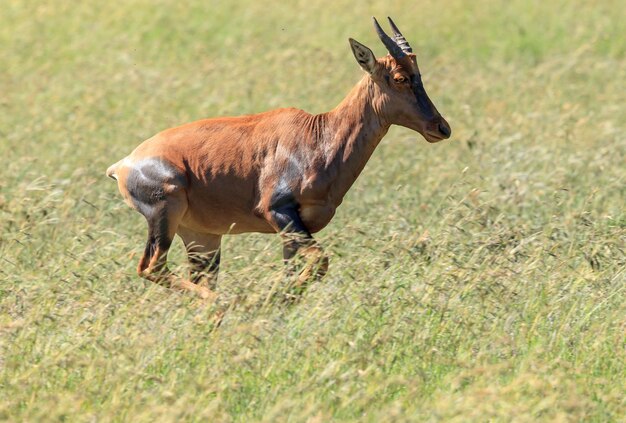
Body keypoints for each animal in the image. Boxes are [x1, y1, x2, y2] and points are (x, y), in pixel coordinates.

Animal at [106, 18, 448, 300]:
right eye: (400, 77)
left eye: (419, 74)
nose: (441, 127)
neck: (318, 135)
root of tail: (123, 164)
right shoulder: (278, 211)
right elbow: (320, 263)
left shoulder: (292, 231)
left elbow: (295, 276)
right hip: (165, 214)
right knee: (151, 268)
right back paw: (227, 304)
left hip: (202, 238)